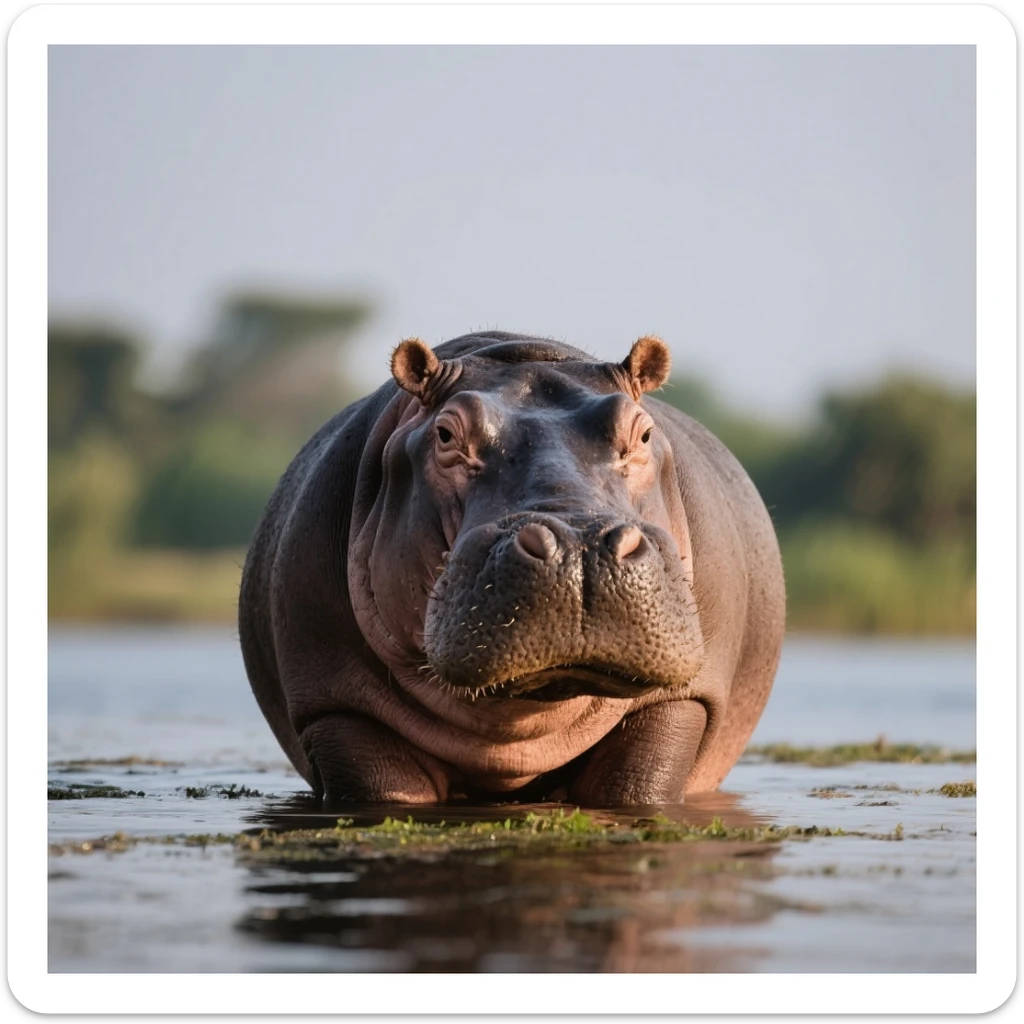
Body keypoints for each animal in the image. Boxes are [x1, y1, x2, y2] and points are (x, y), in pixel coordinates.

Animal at [239, 332, 785, 806]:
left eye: (644, 432)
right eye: (445, 434)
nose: (579, 545)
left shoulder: (681, 702)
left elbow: (638, 784)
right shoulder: (339, 706)